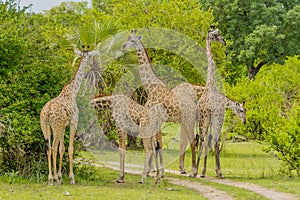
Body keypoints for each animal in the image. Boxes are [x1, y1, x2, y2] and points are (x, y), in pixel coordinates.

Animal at [40, 47, 96, 185]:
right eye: (89, 56)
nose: (92, 65)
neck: (73, 91)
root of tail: (47, 112)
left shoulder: (64, 125)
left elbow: (62, 148)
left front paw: (60, 177)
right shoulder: (73, 122)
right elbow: (70, 148)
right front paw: (71, 178)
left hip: (46, 126)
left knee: (49, 148)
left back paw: (50, 178)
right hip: (56, 127)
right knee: (53, 148)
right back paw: (52, 179)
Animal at [120, 30, 200, 177]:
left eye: (132, 40)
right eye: (127, 38)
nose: (123, 46)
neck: (150, 87)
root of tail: (195, 107)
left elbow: (156, 143)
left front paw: (154, 170)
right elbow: (155, 142)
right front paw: (153, 170)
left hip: (188, 120)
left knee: (192, 141)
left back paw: (193, 172)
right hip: (183, 121)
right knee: (186, 142)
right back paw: (184, 169)